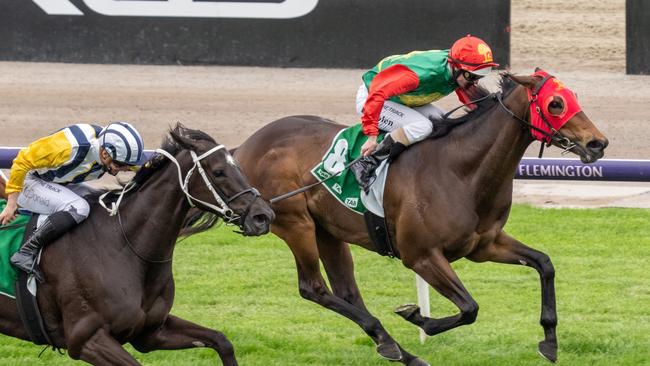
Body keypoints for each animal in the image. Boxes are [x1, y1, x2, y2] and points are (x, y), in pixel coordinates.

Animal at [0, 124, 274, 364]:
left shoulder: (151, 332)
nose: (263, 216)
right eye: (218, 172)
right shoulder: (86, 339)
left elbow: (222, 341)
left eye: (239, 166)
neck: (123, 246)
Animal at [233, 71, 608, 364]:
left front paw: (550, 341)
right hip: (295, 223)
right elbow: (470, 308)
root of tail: (243, 147)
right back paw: (393, 344)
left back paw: (394, 347)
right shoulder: (421, 256)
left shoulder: (485, 245)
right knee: (313, 287)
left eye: (573, 97)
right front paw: (418, 317)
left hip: (328, 229)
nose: (598, 143)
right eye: (555, 103)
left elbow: (544, 264)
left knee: (347, 291)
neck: (461, 171)